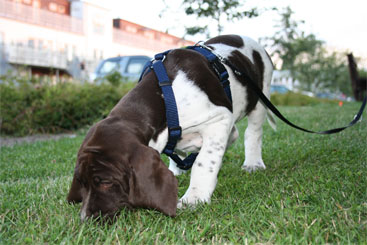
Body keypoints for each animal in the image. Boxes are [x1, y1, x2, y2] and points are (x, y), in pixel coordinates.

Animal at [66, 34, 274, 220]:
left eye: (106, 182)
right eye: (81, 182)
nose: (85, 219)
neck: (167, 97)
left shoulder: (220, 118)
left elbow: (203, 162)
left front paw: (195, 197)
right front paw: (177, 170)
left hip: (259, 99)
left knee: (252, 133)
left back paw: (253, 163)